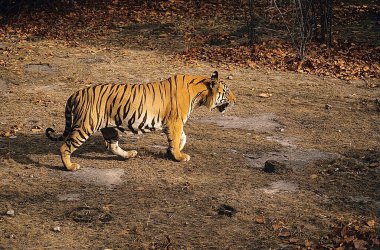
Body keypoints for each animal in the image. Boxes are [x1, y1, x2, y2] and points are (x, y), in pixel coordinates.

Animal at [44, 71, 235, 171]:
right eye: (226, 91)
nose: (235, 100)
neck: (200, 93)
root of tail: (76, 93)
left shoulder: (175, 123)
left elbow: (182, 138)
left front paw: (172, 152)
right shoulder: (175, 122)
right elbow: (177, 138)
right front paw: (179, 156)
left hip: (109, 127)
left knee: (112, 146)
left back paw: (129, 155)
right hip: (85, 126)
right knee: (65, 146)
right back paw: (70, 166)